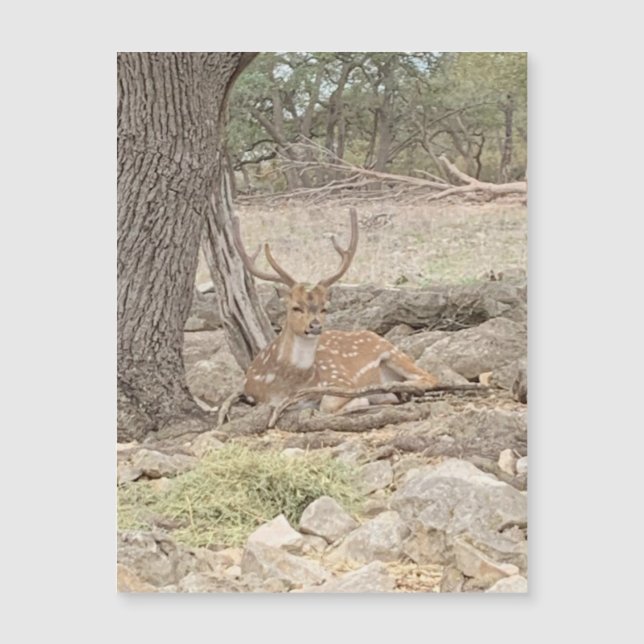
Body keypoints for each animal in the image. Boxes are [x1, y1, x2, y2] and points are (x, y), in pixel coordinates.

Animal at [232, 208, 439, 414]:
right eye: (295, 307)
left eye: (324, 308)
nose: (315, 326)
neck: (287, 384)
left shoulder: (340, 380)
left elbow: (328, 404)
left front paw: (364, 399)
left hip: (392, 352)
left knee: (429, 377)